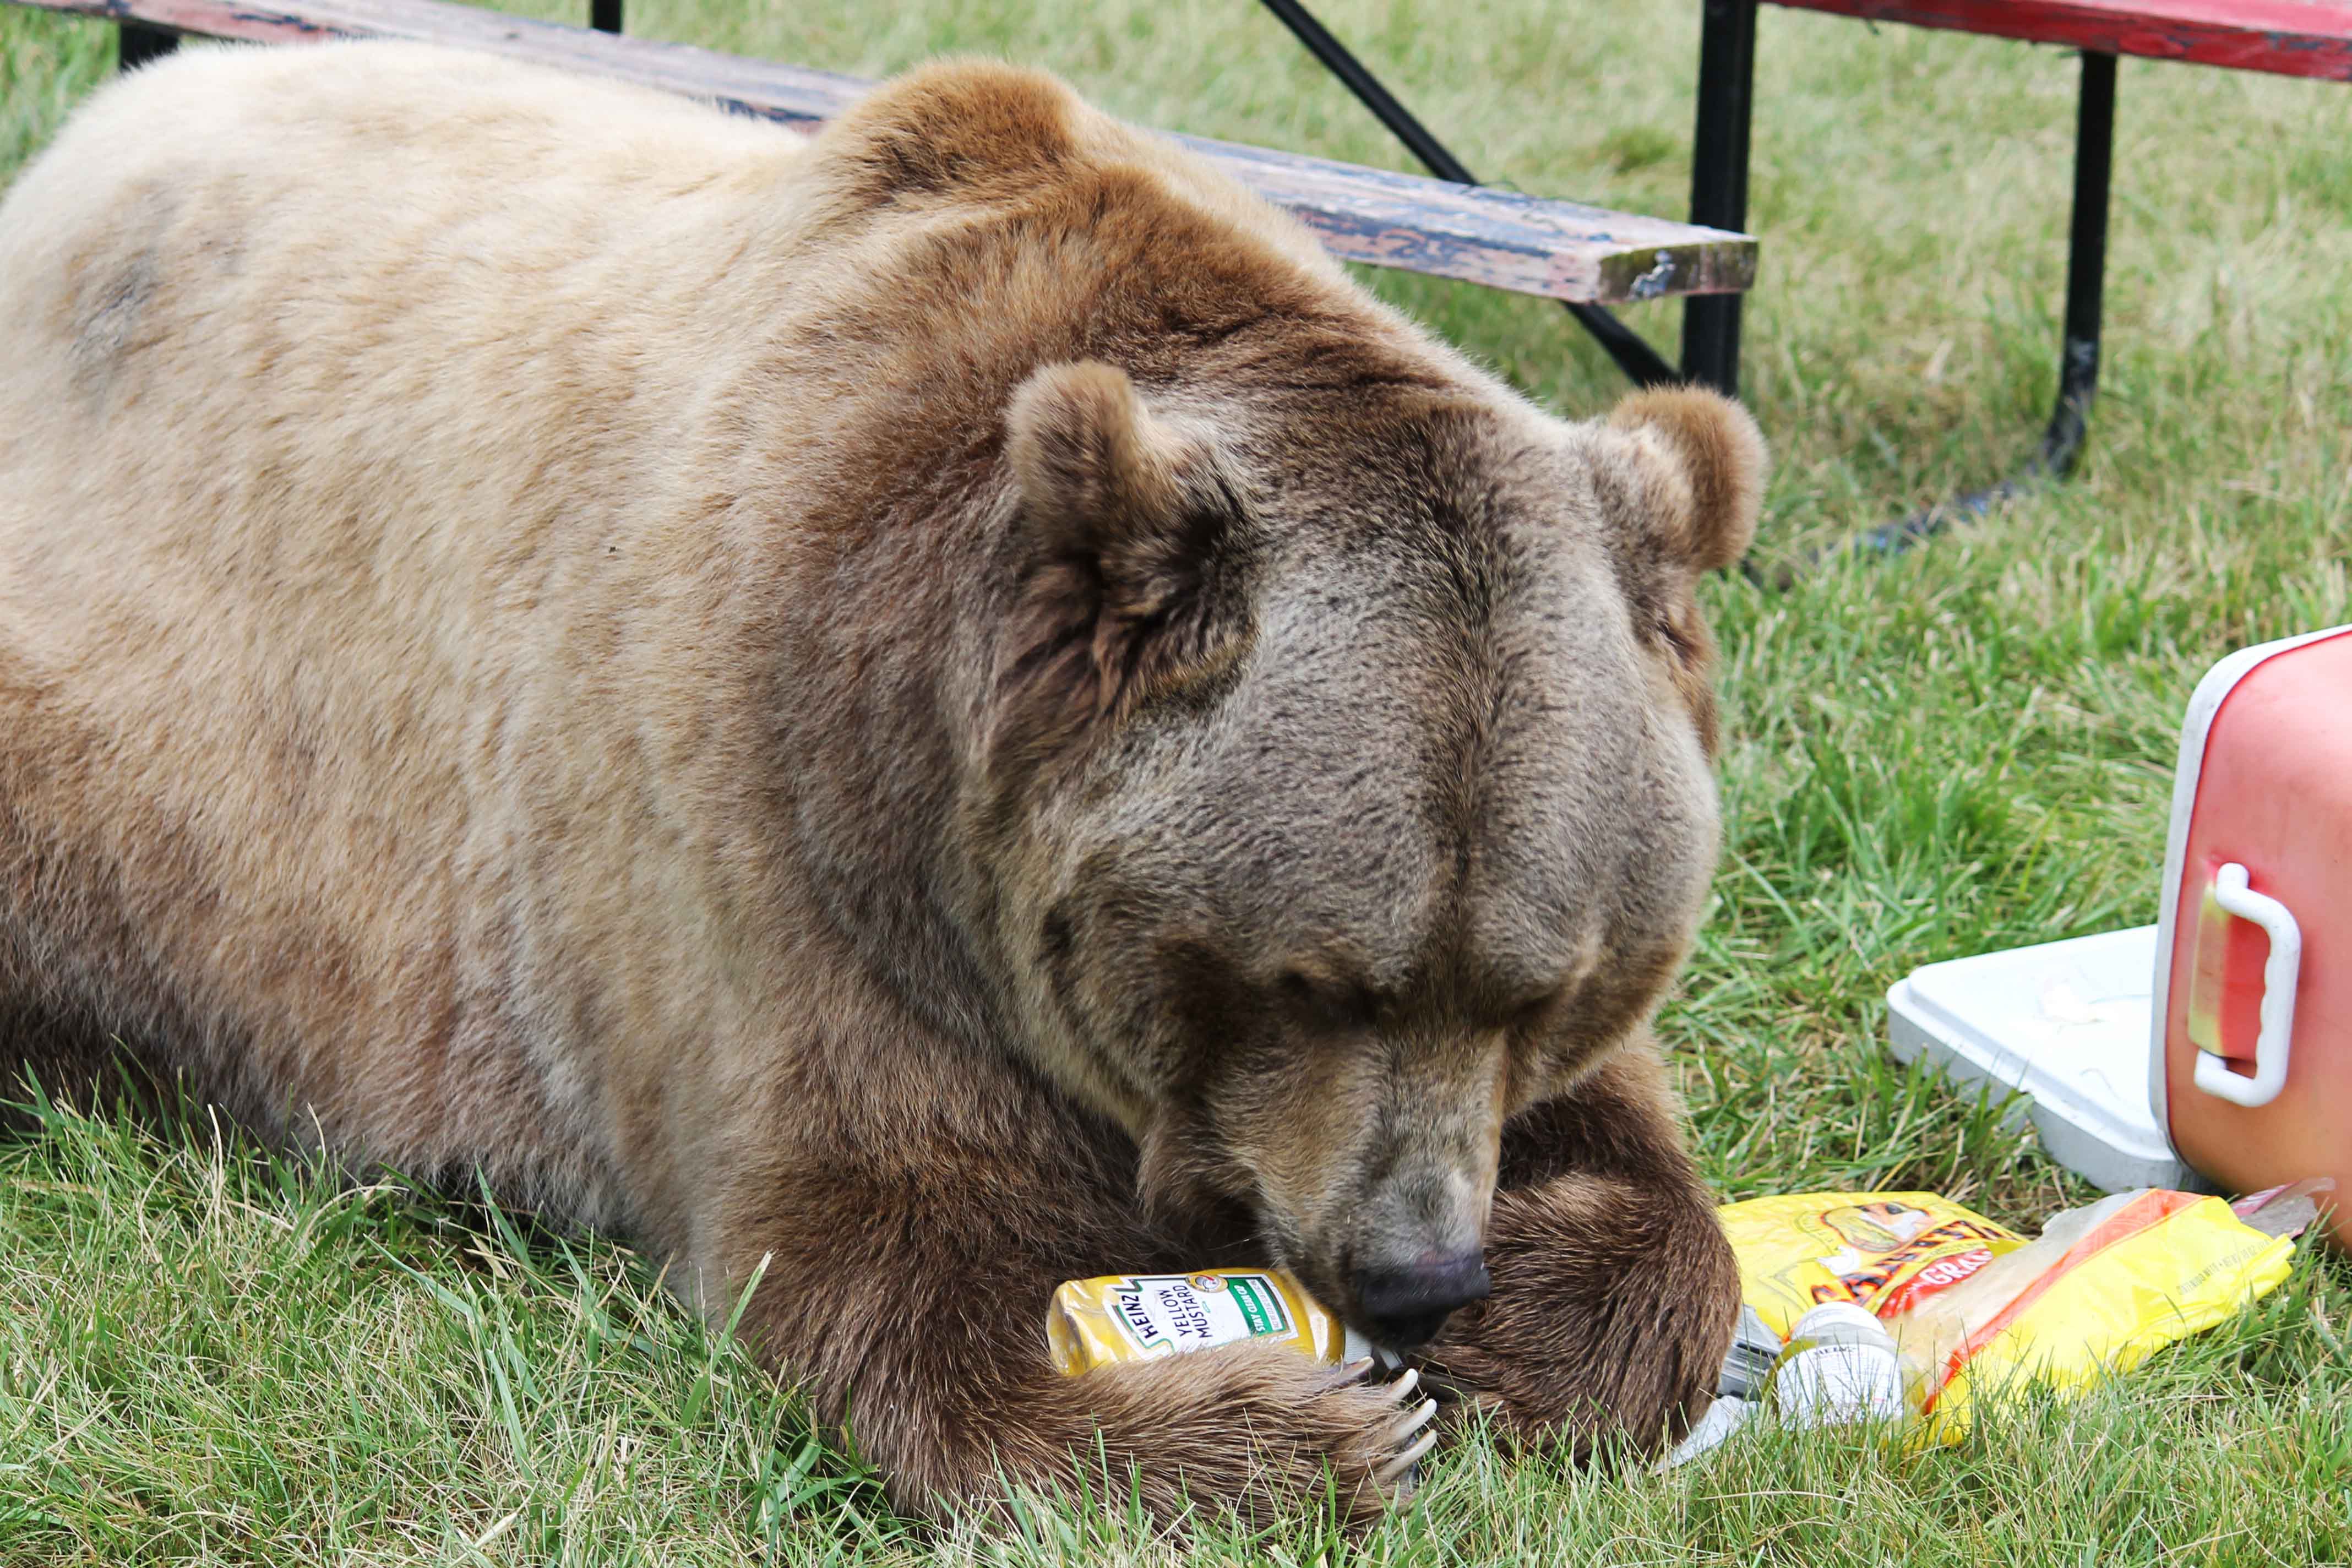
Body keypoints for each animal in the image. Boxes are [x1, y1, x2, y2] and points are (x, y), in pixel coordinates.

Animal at [0, 42, 1768, 1523]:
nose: (1412, 1273)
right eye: (1313, 978)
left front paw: (1530, 1308)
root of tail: (77, 156)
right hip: (137, 743)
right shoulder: (772, 832)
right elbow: (880, 1263)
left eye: (1548, 985)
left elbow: (1651, 1178)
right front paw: (1295, 1424)